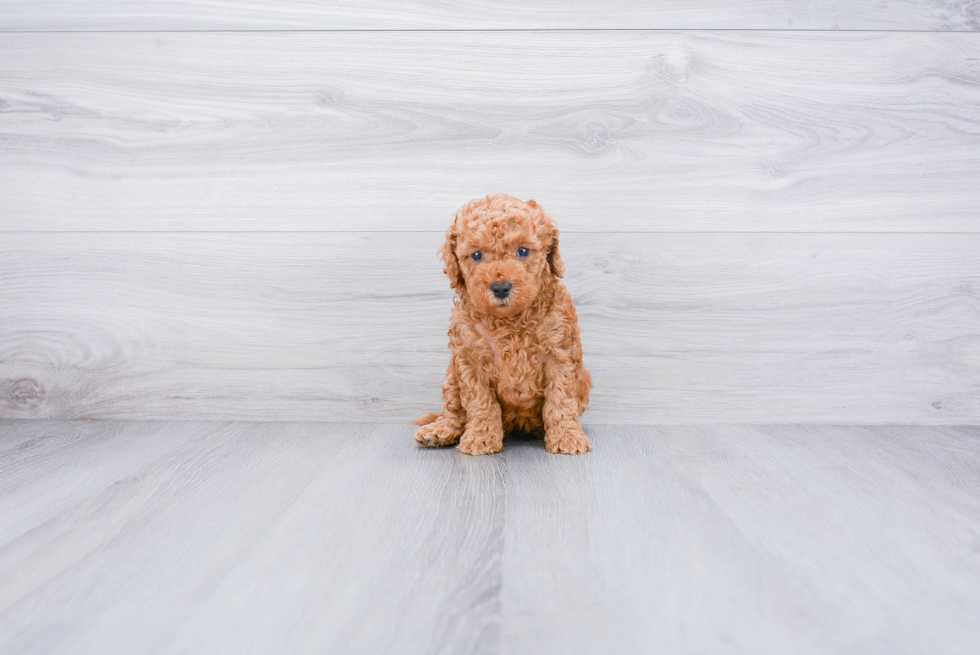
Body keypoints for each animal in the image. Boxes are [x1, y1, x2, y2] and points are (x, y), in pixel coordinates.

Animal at [412, 195, 588, 456]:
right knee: (453, 409)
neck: (509, 320)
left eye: (523, 251)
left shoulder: (559, 354)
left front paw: (567, 436)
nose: (501, 287)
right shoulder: (470, 358)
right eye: (476, 255)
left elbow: (561, 399)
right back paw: (439, 431)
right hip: (452, 375)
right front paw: (481, 437)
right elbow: (480, 402)